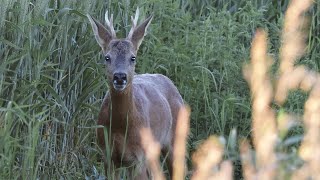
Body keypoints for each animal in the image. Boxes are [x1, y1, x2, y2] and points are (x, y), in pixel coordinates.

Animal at [86, 8, 184, 179]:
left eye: (133, 57)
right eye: (107, 57)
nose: (120, 77)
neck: (120, 128)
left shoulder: (138, 158)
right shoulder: (107, 156)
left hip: (174, 140)